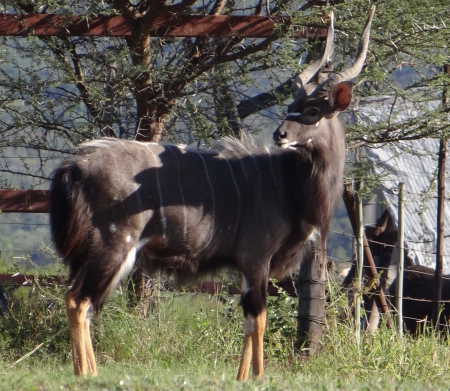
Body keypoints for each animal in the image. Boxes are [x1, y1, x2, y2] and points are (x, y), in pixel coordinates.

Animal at [48, 7, 376, 382]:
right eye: (294, 105)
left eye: (312, 110)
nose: (279, 134)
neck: (289, 184)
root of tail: (72, 166)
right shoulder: (256, 258)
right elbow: (258, 317)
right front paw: (258, 378)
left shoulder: (249, 267)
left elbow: (248, 321)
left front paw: (242, 377)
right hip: (112, 247)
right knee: (78, 300)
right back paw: (86, 374)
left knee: (84, 302)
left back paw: (90, 371)